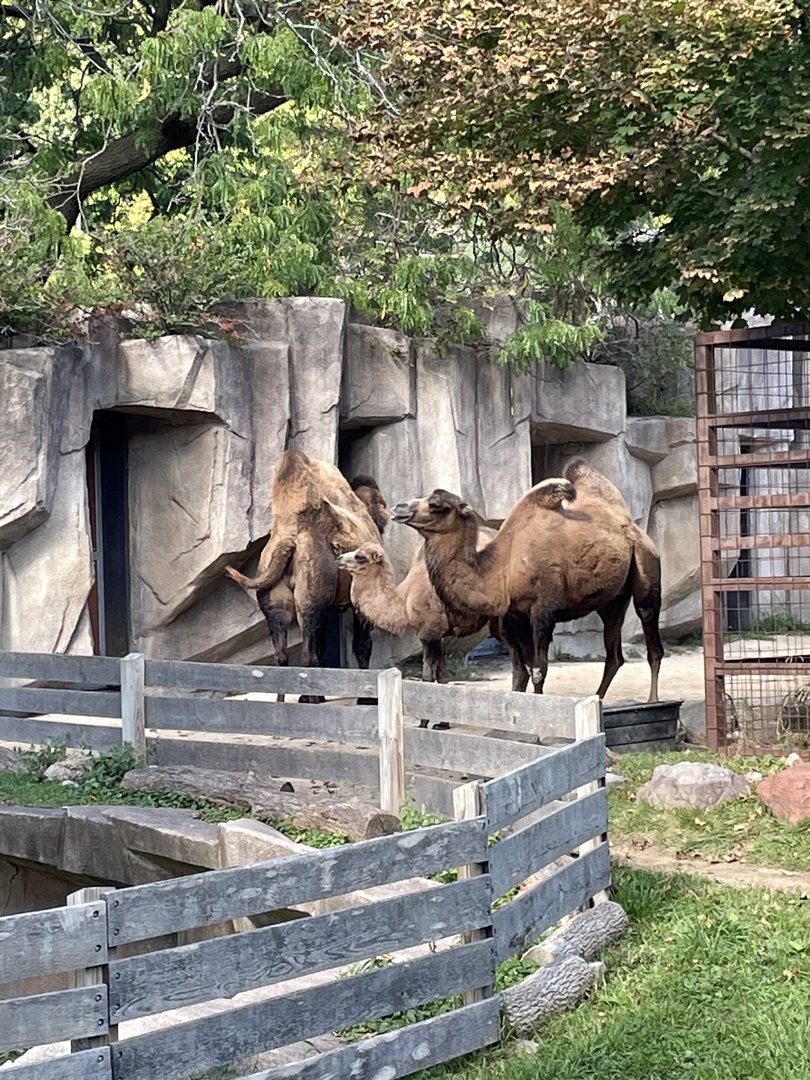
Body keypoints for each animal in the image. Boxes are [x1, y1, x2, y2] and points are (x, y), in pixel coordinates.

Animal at [225, 451, 386, 684]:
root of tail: (289, 540)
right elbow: (362, 646)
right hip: (313, 590)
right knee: (309, 653)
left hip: (274, 590)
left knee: (282, 651)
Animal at [390, 459, 664, 702]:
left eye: (437, 505)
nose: (397, 508)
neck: (502, 569)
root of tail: (631, 526)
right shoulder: (514, 616)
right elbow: (525, 670)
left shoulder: (543, 610)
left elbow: (539, 669)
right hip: (613, 600)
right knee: (614, 654)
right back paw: (598, 699)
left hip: (647, 571)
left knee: (652, 640)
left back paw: (652, 700)